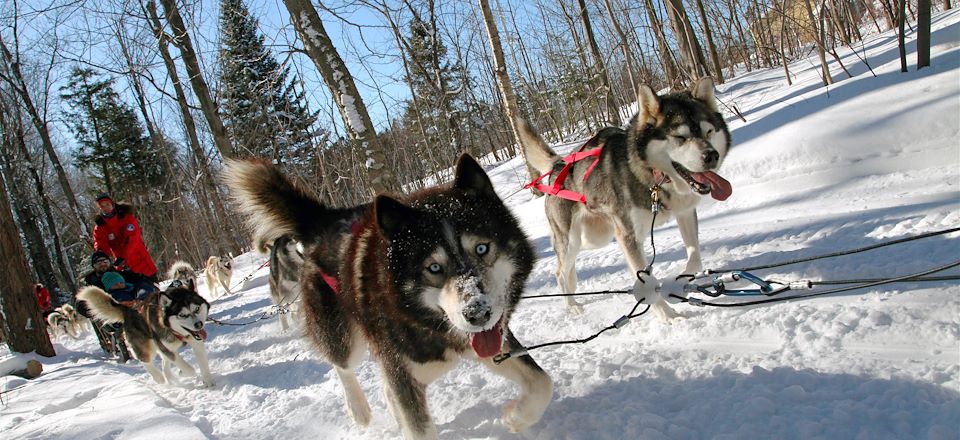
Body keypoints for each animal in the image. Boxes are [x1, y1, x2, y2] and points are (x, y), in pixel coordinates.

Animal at [78, 282, 215, 384]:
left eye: (197, 309)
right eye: (182, 315)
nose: (199, 325)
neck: (174, 331)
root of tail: (128, 310)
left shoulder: (195, 343)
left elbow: (202, 362)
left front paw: (208, 381)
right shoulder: (167, 348)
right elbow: (186, 366)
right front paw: (187, 373)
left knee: (164, 364)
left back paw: (169, 377)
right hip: (146, 347)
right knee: (145, 361)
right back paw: (159, 378)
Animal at [226, 154, 552, 436]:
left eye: (482, 248)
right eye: (434, 267)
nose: (477, 313)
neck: (424, 321)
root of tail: (326, 222)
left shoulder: (492, 340)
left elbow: (542, 382)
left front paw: (515, 418)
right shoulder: (404, 373)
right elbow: (418, 428)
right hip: (344, 337)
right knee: (342, 364)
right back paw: (358, 408)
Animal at [516, 77, 736, 318]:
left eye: (709, 132)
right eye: (680, 137)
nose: (711, 155)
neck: (653, 178)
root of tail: (559, 166)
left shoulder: (685, 213)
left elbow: (694, 258)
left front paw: (678, 283)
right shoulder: (628, 237)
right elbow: (647, 283)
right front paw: (669, 316)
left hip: (594, 238)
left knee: (568, 269)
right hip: (572, 239)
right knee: (559, 272)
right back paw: (571, 304)